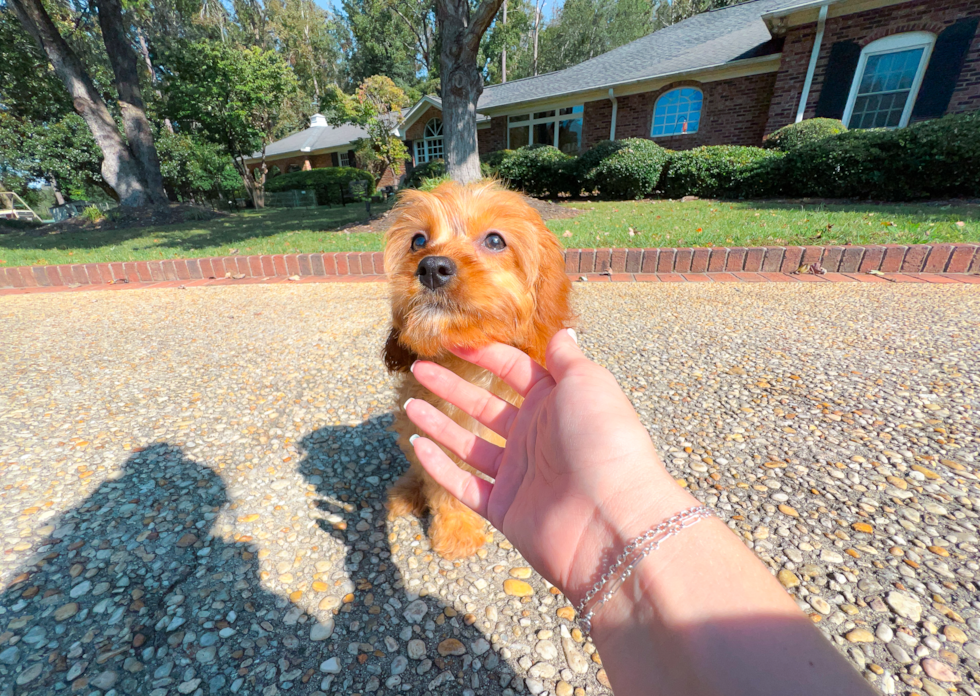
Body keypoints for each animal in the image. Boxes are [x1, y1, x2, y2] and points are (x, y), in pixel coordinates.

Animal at [378, 179, 576, 560]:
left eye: (495, 241)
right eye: (418, 241)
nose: (431, 267)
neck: (467, 368)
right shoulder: (431, 436)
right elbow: (442, 485)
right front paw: (456, 534)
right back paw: (406, 493)